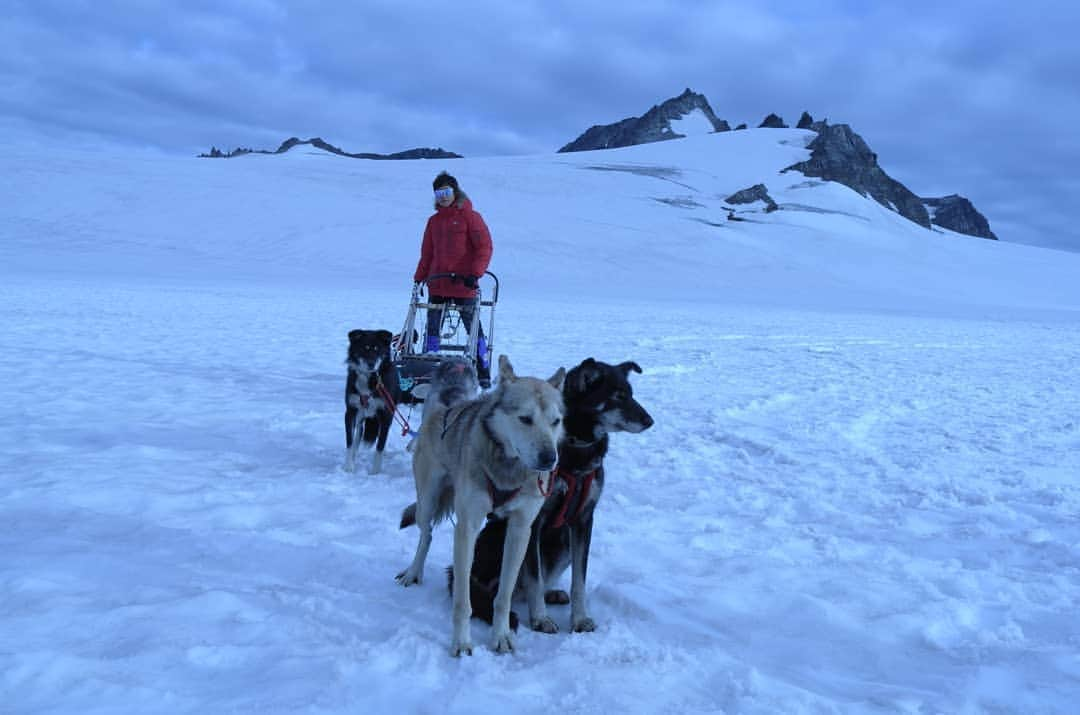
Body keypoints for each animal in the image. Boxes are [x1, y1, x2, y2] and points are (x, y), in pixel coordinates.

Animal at [341, 330, 401, 475]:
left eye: (377, 349)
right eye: (365, 348)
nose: (371, 364)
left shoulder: (386, 414)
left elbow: (380, 446)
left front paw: (375, 471)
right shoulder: (351, 412)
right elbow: (350, 441)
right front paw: (349, 466)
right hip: (361, 416)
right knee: (358, 436)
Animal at [395, 356, 565, 656]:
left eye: (555, 421)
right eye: (525, 419)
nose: (549, 458)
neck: (506, 470)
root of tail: (443, 409)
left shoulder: (520, 530)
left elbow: (504, 596)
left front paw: (501, 636)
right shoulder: (467, 529)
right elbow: (463, 601)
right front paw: (462, 642)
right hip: (427, 503)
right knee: (426, 535)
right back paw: (414, 572)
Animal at [453, 360, 652, 635]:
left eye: (631, 393)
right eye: (617, 396)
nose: (650, 421)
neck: (576, 450)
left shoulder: (583, 520)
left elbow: (579, 581)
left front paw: (579, 618)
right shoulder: (535, 522)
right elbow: (534, 576)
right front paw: (540, 618)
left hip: (564, 543)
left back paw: (552, 594)